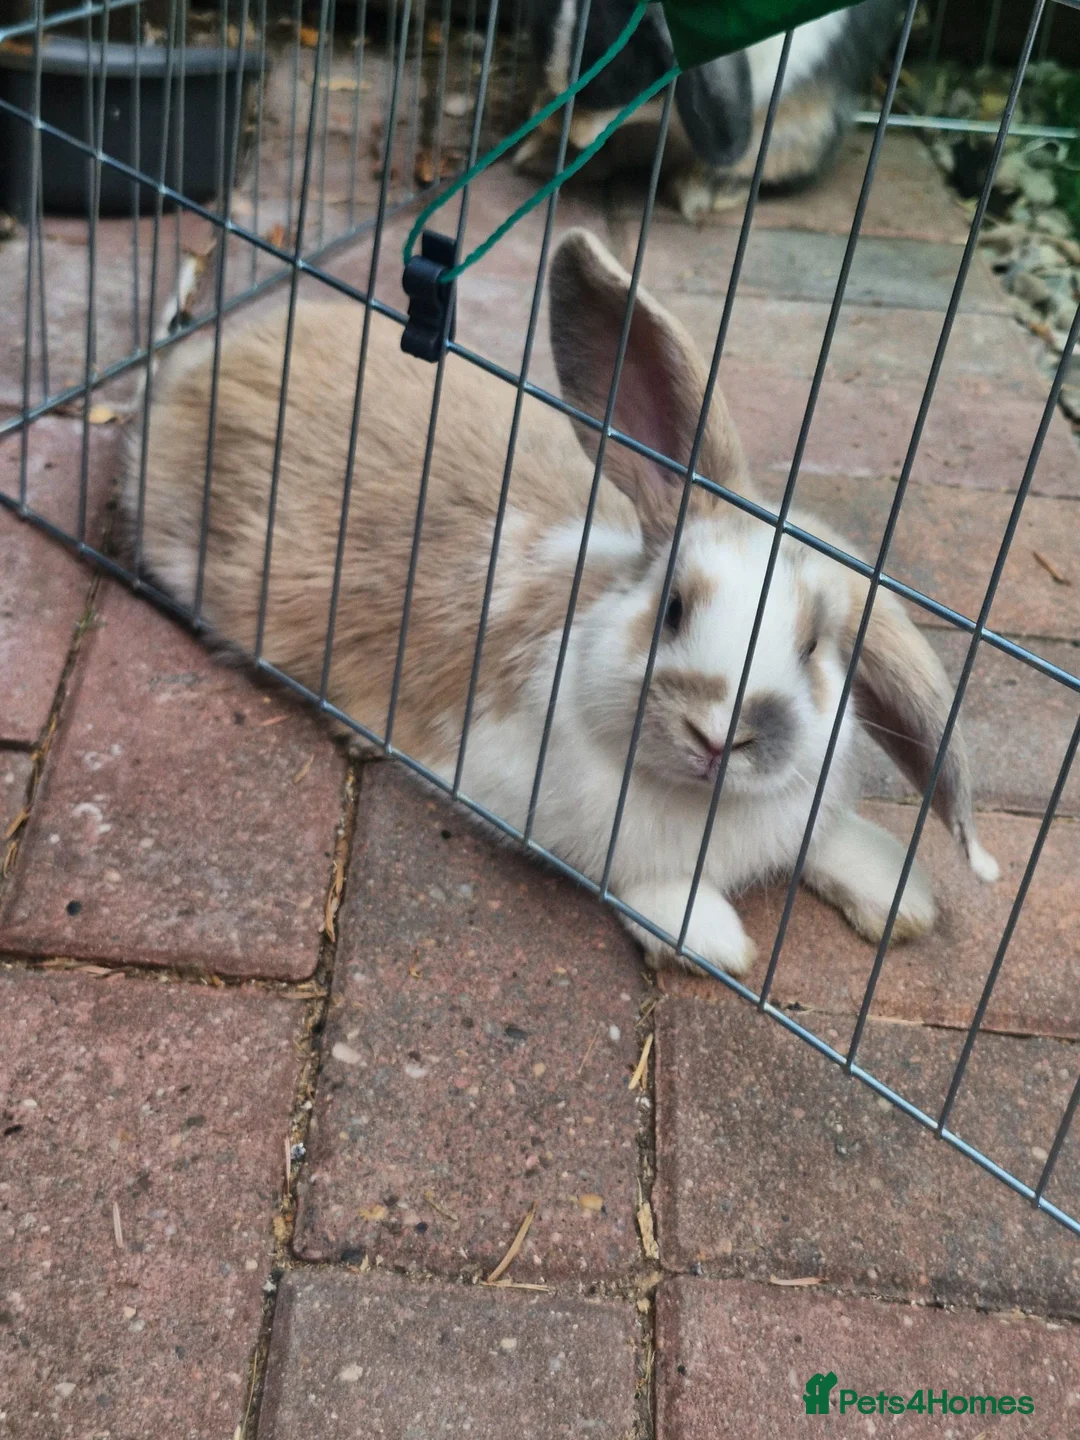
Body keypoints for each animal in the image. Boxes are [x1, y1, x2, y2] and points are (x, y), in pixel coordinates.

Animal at [121, 227, 997, 979]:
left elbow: (829, 843)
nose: (719, 735)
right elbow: (644, 883)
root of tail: (205, 365)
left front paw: (898, 892)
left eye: (815, 648)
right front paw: (711, 938)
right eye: (672, 607)